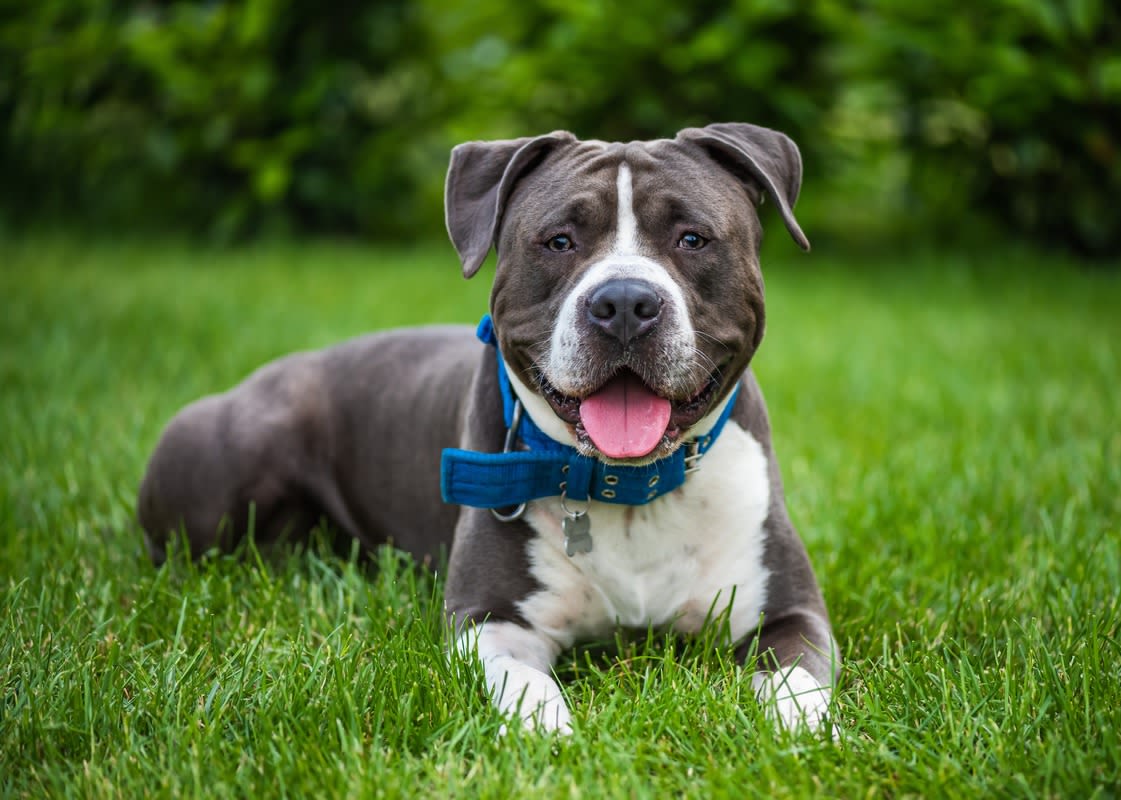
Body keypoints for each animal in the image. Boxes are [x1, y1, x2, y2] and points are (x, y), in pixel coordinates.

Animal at [140, 123, 838, 730]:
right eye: (559, 241)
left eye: (692, 239)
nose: (623, 303)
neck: (628, 490)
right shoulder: (491, 620)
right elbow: (523, 683)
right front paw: (550, 735)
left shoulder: (789, 612)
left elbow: (795, 681)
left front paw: (800, 733)